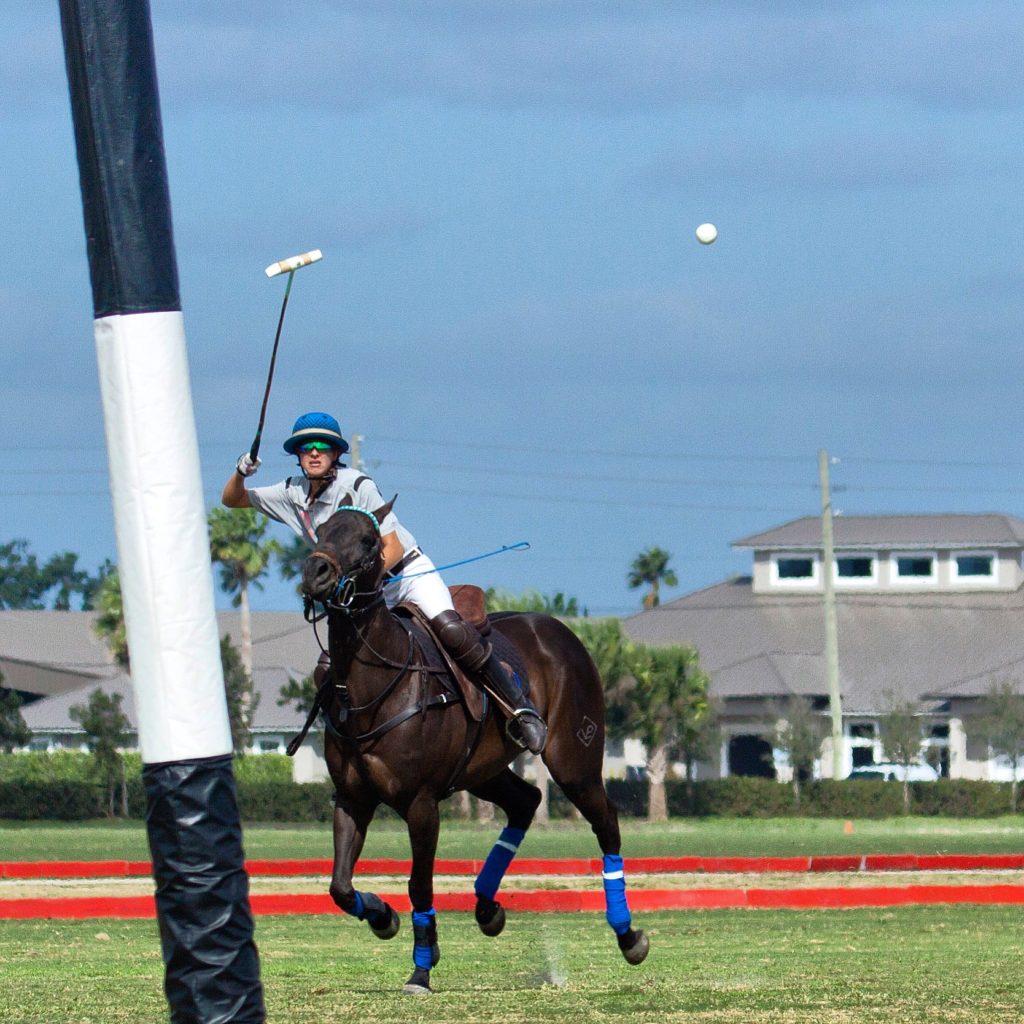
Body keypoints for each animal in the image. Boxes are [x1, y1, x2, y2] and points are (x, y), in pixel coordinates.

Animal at [296, 499, 647, 995]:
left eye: (367, 539)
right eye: (322, 530)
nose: (316, 571)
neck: (376, 687)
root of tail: (558, 627)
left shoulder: (422, 803)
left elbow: (419, 884)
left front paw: (421, 969)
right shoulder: (351, 798)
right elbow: (340, 886)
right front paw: (384, 918)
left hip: (573, 758)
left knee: (606, 821)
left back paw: (628, 935)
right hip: (482, 769)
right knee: (526, 801)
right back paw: (487, 907)